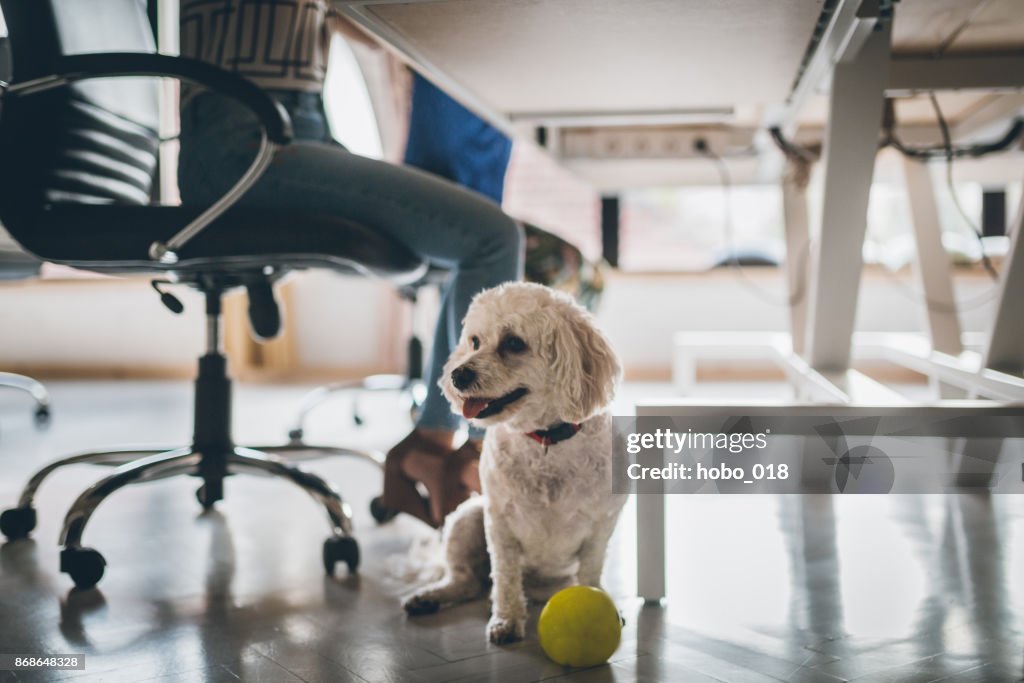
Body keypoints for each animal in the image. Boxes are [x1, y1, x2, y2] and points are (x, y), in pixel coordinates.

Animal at [399, 282, 622, 647]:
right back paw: (431, 596)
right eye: (475, 341)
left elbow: (590, 571)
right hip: (466, 518)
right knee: (467, 581)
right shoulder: (500, 524)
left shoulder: (600, 526)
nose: (458, 375)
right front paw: (506, 619)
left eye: (514, 343)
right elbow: (504, 577)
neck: (545, 439)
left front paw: (597, 599)